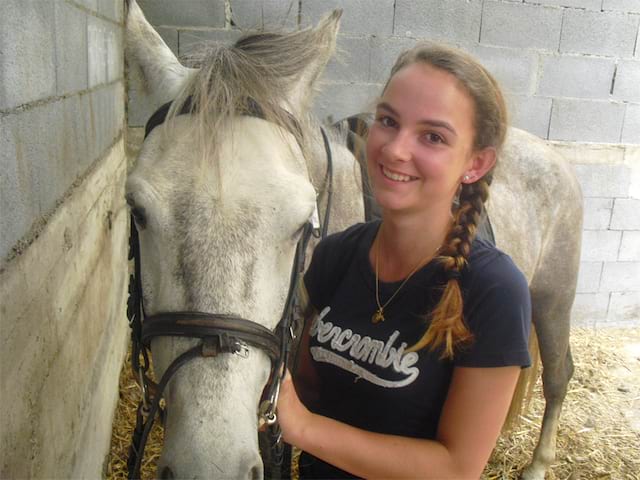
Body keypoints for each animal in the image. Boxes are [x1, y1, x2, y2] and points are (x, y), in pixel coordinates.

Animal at [124, 1, 580, 478]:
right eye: (136, 210)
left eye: (300, 224)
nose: (209, 465)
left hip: (553, 299)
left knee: (558, 375)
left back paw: (538, 464)